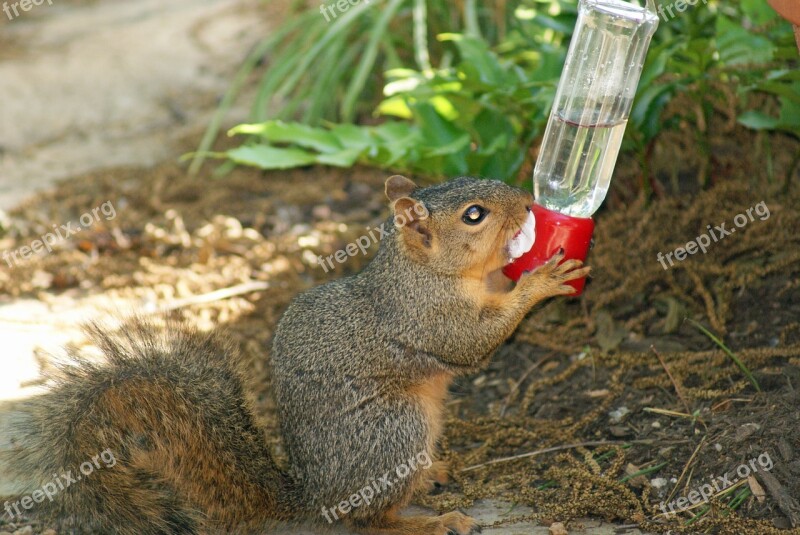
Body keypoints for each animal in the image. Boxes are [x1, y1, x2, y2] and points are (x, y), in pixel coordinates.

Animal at [4, 177, 588, 535]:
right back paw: (430, 521)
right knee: (369, 520)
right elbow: (472, 343)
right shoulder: (426, 318)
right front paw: (538, 282)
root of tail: (316, 496)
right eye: (474, 215)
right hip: (394, 428)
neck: (422, 271)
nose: (526, 201)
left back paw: (433, 473)